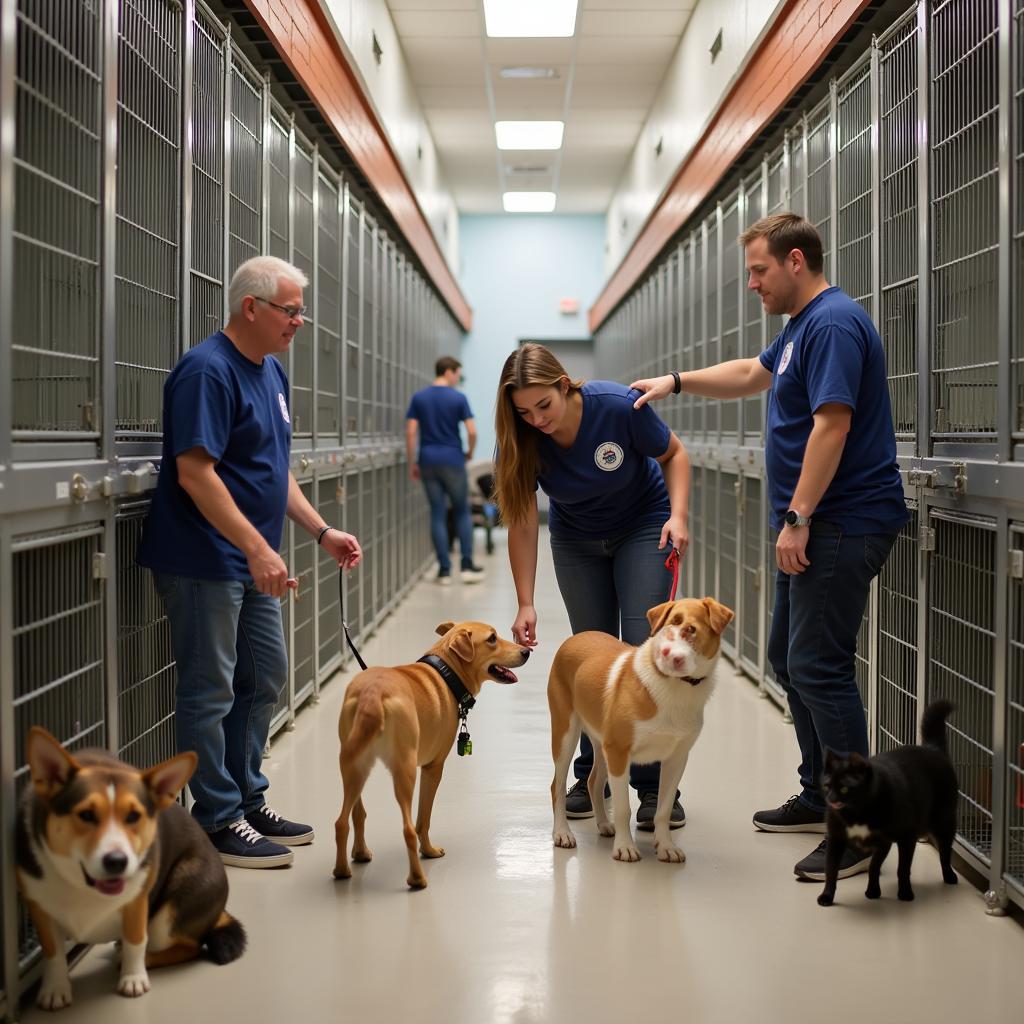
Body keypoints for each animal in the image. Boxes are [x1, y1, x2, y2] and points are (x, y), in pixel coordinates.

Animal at [16, 729, 243, 1007]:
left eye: (134, 816)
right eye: (86, 814)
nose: (117, 861)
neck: (82, 886)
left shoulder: (137, 900)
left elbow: (136, 940)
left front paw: (133, 979)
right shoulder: (39, 907)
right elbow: (53, 952)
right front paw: (55, 989)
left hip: (167, 916)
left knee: (189, 947)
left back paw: (140, 958)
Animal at [333, 618, 532, 892]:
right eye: (492, 638)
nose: (527, 651)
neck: (446, 674)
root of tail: (372, 694)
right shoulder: (433, 767)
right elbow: (423, 819)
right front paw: (428, 850)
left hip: (354, 766)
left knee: (346, 819)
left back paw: (347, 865)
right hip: (404, 771)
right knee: (407, 829)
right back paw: (417, 878)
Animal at [548, 598, 733, 868]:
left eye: (691, 629)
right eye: (667, 627)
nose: (667, 653)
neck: (674, 685)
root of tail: (577, 637)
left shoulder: (676, 759)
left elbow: (663, 810)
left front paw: (666, 846)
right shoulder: (619, 753)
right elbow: (623, 807)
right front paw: (625, 847)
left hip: (602, 743)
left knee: (594, 782)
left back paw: (604, 824)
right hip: (565, 734)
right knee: (557, 785)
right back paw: (562, 832)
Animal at [815, 700, 958, 909]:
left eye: (844, 789)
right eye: (827, 786)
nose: (831, 800)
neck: (857, 812)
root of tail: (933, 748)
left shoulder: (905, 838)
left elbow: (902, 869)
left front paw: (905, 893)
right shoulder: (839, 839)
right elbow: (834, 869)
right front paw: (830, 895)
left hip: (945, 821)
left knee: (945, 852)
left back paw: (949, 876)